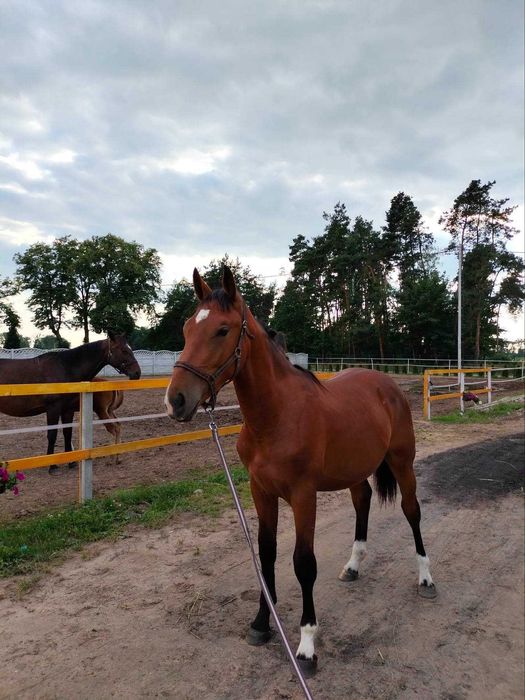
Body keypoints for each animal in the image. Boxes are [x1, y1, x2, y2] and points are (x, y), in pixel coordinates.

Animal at [0, 332, 139, 474]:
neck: (65, 368)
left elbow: (67, 433)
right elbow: (52, 435)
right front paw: (52, 465)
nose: (137, 373)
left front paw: (71, 462)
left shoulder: (68, 409)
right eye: (124, 350)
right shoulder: (53, 409)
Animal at [166, 266, 436, 672]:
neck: (277, 416)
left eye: (222, 330)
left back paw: (426, 578)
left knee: (411, 511)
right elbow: (266, 554)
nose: (176, 401)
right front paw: (262, 623)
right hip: (353, 470)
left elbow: (303, 562)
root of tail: (386, 383)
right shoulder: (260, 490)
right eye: (186, 329)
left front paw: (307, 644)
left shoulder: (303, 495)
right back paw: (353, 566)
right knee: (363, 500)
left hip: (403, 462)